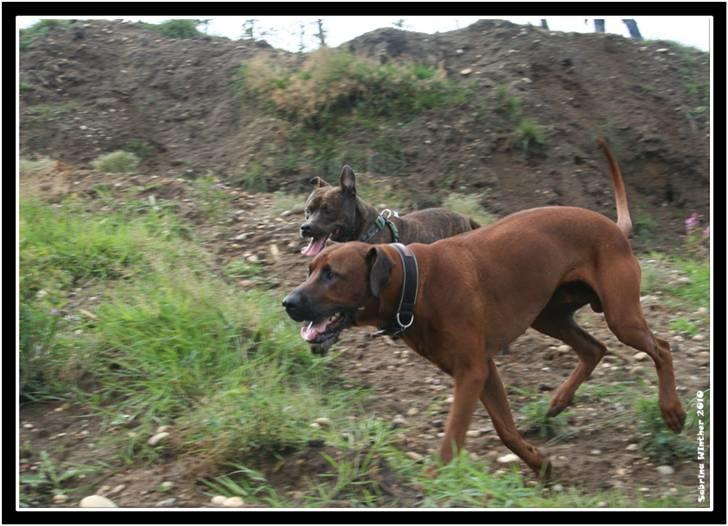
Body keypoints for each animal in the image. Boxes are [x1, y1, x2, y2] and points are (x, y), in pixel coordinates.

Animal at [282, 140, 684, 478]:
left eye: (332, 274)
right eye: (310, 270)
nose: (288, 303)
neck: (415, 283)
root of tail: (614, 228)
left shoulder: (472, 372)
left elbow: (452, 441)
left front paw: (432, 483)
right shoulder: (485, 371)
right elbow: (505, 429)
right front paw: (539, 463)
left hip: (620, 316)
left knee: (660, 348)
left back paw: (672, 410)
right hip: (548, 316)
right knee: (594, 348)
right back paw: (557, 402)